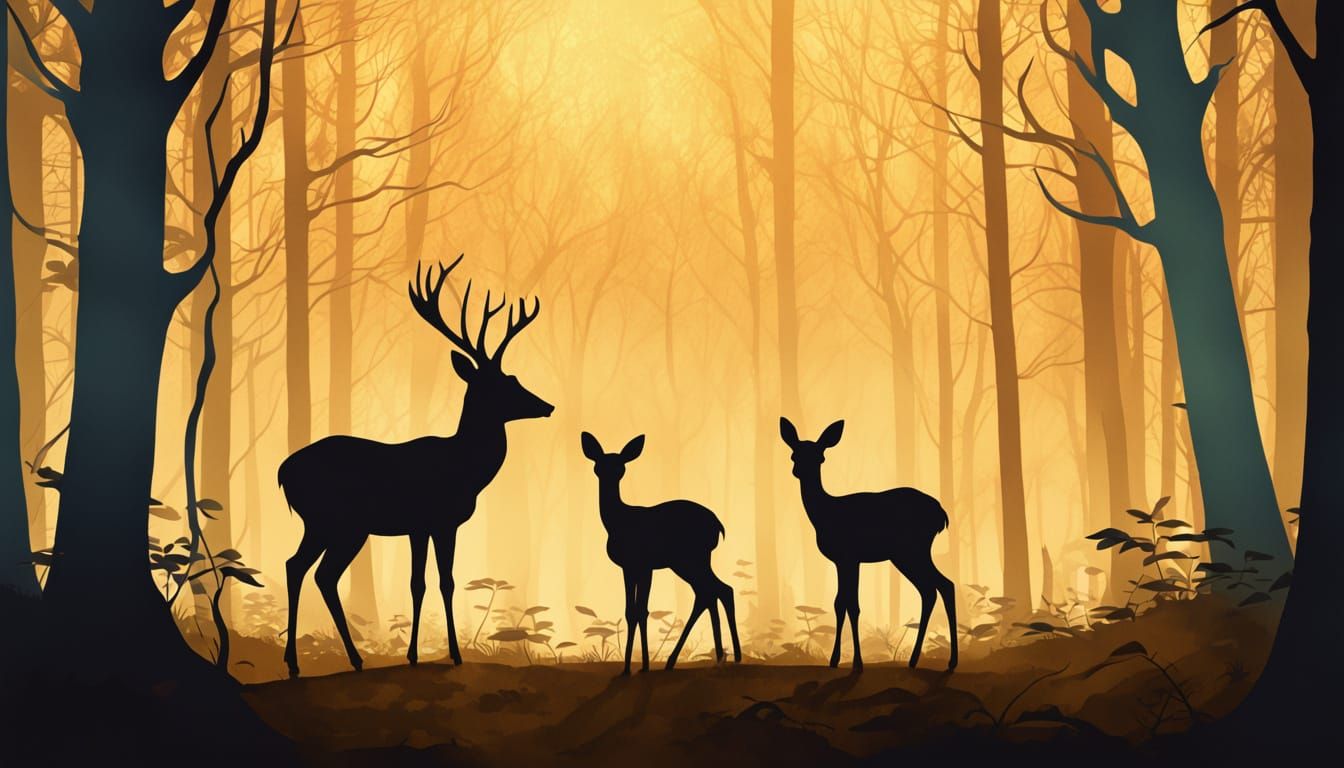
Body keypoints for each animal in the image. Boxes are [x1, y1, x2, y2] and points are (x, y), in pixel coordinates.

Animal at [278, 256, 553, 678]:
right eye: (503, 382)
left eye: (512, 376)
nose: (547, 405)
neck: (466, 469)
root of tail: (283, 472)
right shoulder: (442, 520)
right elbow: (445, 582)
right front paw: (453, 653)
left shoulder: (417, 527)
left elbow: (417, 583)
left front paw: (413, 655)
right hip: (339, 522)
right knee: (317, 572)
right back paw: (340, 659)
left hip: (325, 524)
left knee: (301, 567)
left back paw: (308, 662)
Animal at [580, 432, 741, 675]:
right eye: (598, 466)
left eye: (621, 467)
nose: (609, 475)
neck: (616, 523)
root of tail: (718, 526)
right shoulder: (632, 567)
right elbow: (632, 611)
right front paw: (633, 667)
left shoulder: (642, 565)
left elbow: (639, 611)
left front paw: (640, 667)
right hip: (691, 561)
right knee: (712, 591)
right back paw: (715, 657)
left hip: (691, 558)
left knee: (717, 590)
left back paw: (727, 656)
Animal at [779, 417, 957, 672]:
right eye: (794, 454)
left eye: (820, 457)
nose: (798, 470)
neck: (825, 514)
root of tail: (941, 514)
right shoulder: (844, 560)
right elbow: (841, 603)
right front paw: (837, 660)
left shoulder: (849, 556)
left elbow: (851, 604)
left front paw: (855, 662)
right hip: (908, 554)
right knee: (934, 588)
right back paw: (917, 660)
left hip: (912, 550)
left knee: (942, 585)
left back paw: (948, 661)